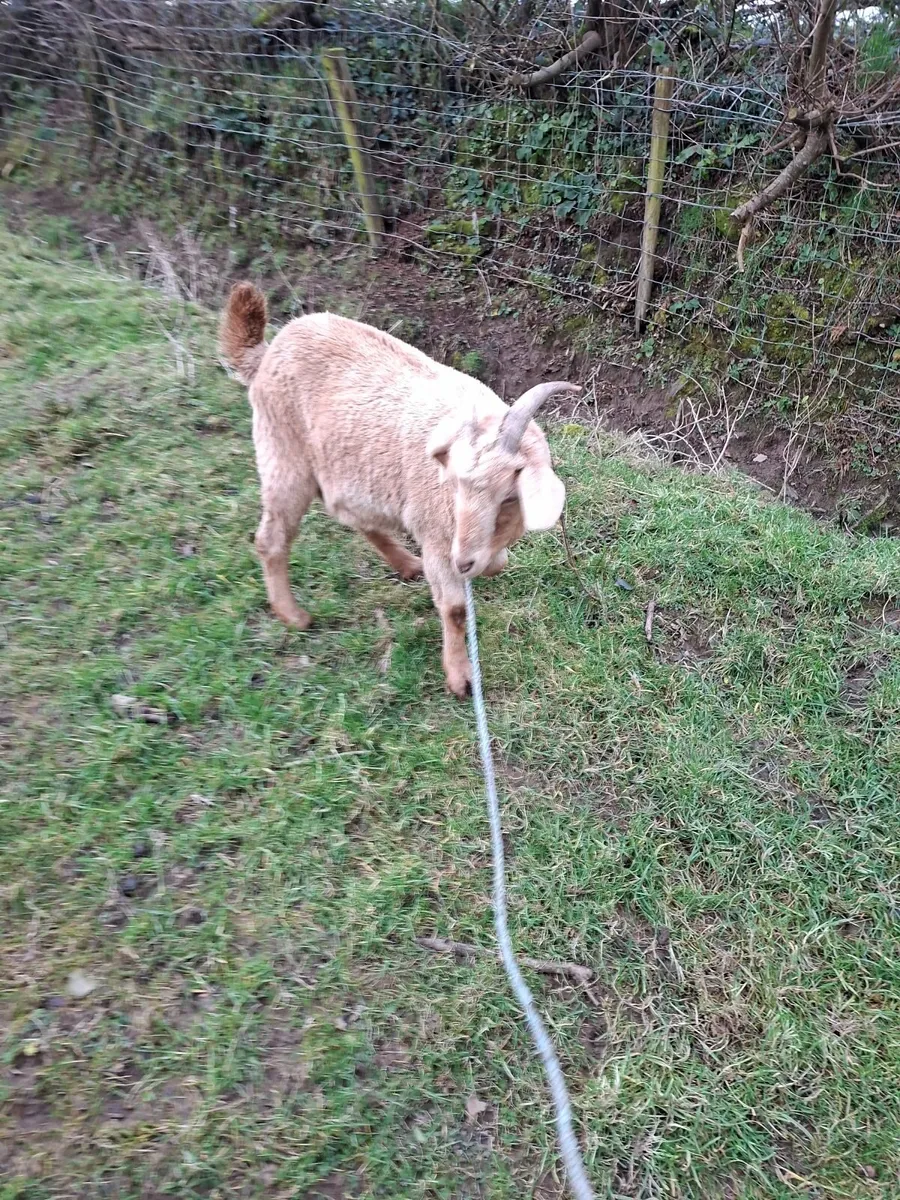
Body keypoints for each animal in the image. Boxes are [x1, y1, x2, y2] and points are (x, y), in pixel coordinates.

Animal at [219, 282, 579, 697]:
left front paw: (485, 566)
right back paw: (293, 615)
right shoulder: (436, 535)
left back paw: (407, 564)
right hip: (282, 456)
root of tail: (267, 351)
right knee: (271, 538)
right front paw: (461, 677)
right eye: (454, 483)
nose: (463, 562)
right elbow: (455, 609)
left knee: (348, 512)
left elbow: (497, 562)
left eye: (508, 494)